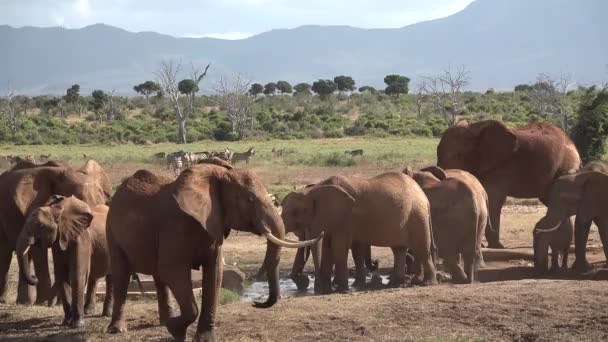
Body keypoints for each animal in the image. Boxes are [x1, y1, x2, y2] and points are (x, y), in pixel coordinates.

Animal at [0, 159, 111, 306]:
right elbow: (39, 251)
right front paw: (43, 303)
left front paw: (58, 303)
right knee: (5, 254)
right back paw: (7, 301)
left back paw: (23, 302)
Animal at [15, 195, 112, 326]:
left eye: (41, 226)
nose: (34, 277)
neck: (57, 211)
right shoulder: (58, 242)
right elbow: (61, 276)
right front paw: (66, 322)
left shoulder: (81, 239)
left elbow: (76, 275)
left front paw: (77, 324)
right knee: (94, 276)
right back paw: (88, 312)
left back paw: (106, 314)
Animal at [105, 163, 324, 342]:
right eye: (249, 200)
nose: (256, 303)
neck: (219, 175)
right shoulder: (175, 226)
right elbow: (173, 271)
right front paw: (176, 330)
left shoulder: (213, 224)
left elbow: (214, 273)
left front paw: (202, 338)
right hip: (112, 230)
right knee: (122, 274)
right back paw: (117, 329)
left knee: (159, 279)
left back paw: (163, 322)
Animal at [280, 172, 436, 296]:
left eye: (296, 213)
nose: (306, 281)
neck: (314, 189)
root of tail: (424, 196)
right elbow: (327, 247)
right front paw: (328, 290)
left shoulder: (346, 216)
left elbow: (339, 246)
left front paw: (342, 290)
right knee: (399, 249)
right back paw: (395, 284)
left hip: (417, 215)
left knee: (421, 248)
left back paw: (426, 283)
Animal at [434, 119, 580, 247]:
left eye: (458, 155)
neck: (475, 127)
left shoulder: (499, 167)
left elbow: (493, 198)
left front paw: (496, 246)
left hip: (566, 166)